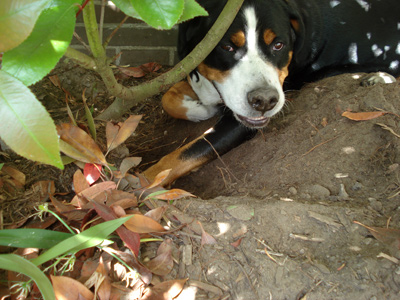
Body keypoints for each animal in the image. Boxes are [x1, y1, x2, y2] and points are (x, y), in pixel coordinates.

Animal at [144, 0, 400, 186]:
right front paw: (200, 109)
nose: (265, 100)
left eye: (278, 45)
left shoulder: (237, 124)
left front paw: (141, 183)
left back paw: (378, 77)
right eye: (226, 46)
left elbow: (180, 156)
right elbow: (168, 96)